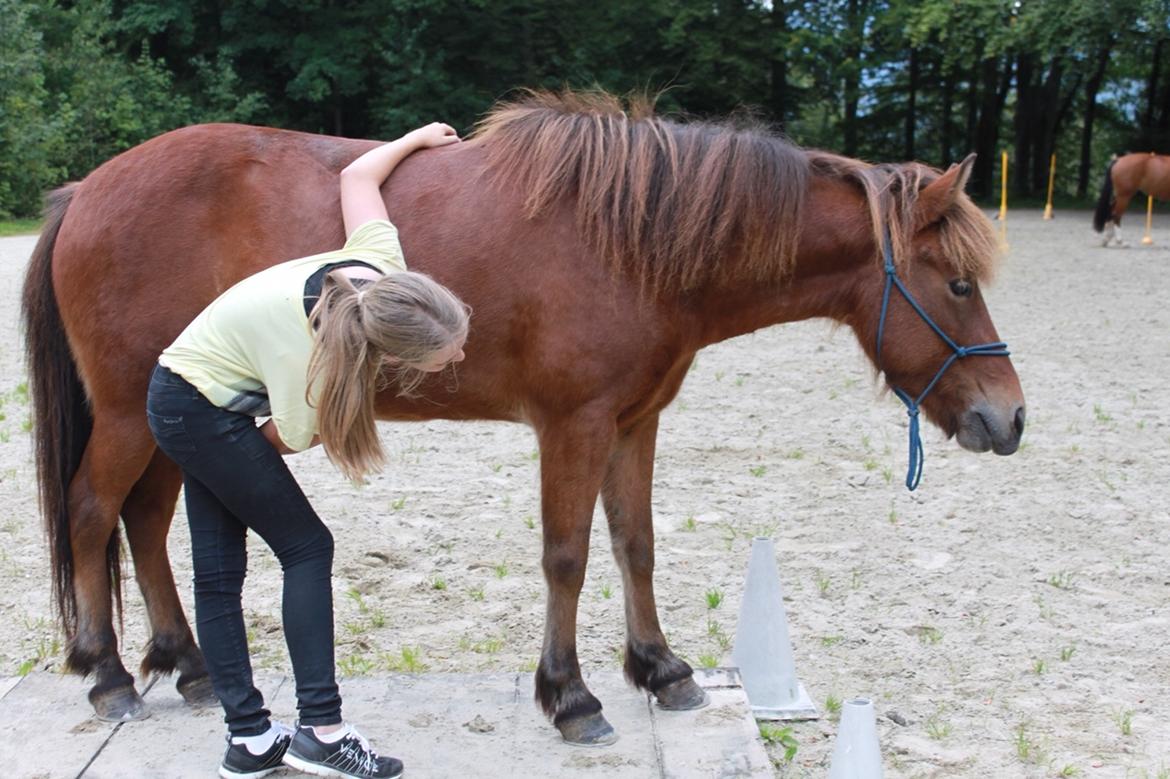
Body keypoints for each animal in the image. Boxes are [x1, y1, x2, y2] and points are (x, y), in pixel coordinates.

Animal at [20, 89, 1024, 739]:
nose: (1009, 419)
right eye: (959, 282)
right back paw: (107, 674)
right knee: (93, 514)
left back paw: (185, 667)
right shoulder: (574, 426)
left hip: (169, 425)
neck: (636, 240)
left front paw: (660, 669)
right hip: (131, 415)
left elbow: (634, 543)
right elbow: (568, 556)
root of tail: (84, 192)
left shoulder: (634, 423)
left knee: (146, 525)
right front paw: (570, 694)